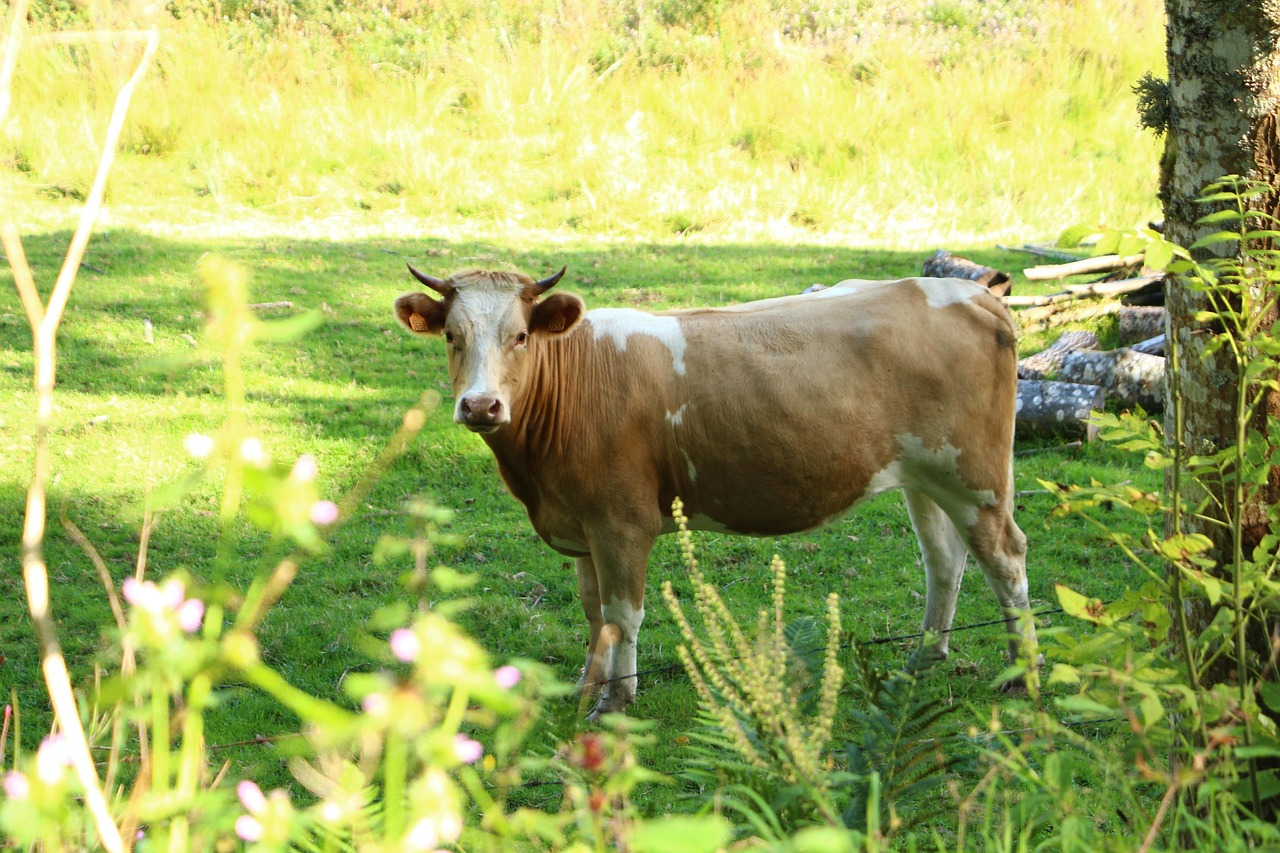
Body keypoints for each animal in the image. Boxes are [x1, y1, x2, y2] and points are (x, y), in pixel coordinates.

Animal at [394, 266, 1036, 718]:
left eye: (522, 335)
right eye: (452, 335)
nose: (480, 405)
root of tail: (970, 292)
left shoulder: (622, 521)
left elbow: (622, 613)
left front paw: (616, 701)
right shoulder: (580, 522)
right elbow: (593, 611)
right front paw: (585, 686)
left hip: (976, 476)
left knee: (1005, 556)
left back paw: (1023, 675)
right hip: (925, 476)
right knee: (944, 560)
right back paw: (925, 657)